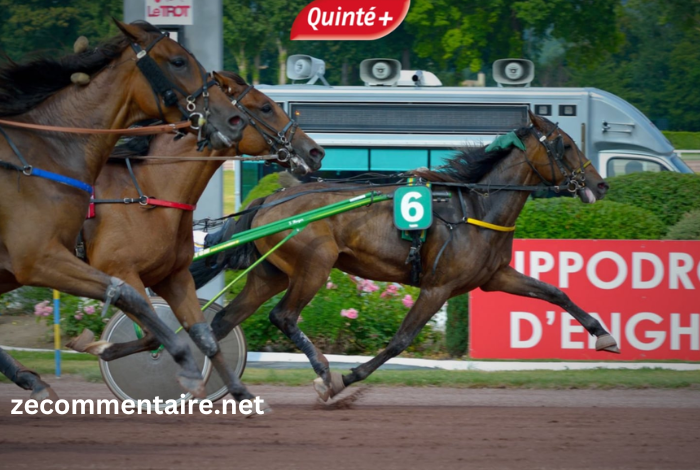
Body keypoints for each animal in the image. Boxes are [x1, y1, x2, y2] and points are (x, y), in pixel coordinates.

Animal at [0, 20, 246, 398]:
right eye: (178, 61)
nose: (234, 119)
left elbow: (197, 330)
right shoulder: (40, 259)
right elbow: (131, 298)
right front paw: (182, 364)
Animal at [67, 70, 324, 408]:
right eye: (266, 107)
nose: (315, 151)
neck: (146, 194)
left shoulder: (171, 274)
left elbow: (201, 334)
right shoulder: (120, 271)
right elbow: (154, 334)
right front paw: (99, 347)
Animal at [202, 113, 616, 400]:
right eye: (564, 145)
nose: (600, 184)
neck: (476, 209)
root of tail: (267, 200)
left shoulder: (494, 277)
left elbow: (555, 292)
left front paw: (604, 336)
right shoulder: (438, 287)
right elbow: (401, 340)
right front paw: (344, 379)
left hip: (271, 273)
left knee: (221, 323)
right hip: (313, 267)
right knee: (283, 316)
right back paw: (323, 371)